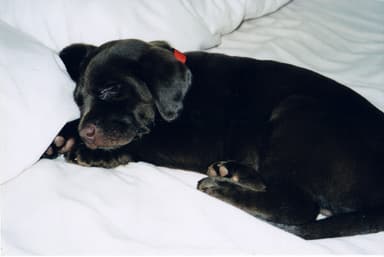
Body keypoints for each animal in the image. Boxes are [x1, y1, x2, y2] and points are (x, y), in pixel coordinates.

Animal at [44, 39, 384, 239]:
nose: (87, 132)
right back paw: (232, 172)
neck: (187, 92)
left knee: (295, 204)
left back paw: (221, 186)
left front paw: (90, 151)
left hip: (299, 110)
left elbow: (143, 141)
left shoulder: (193, 142)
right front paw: (59, 137)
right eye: (78, 100)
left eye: (111, 90)